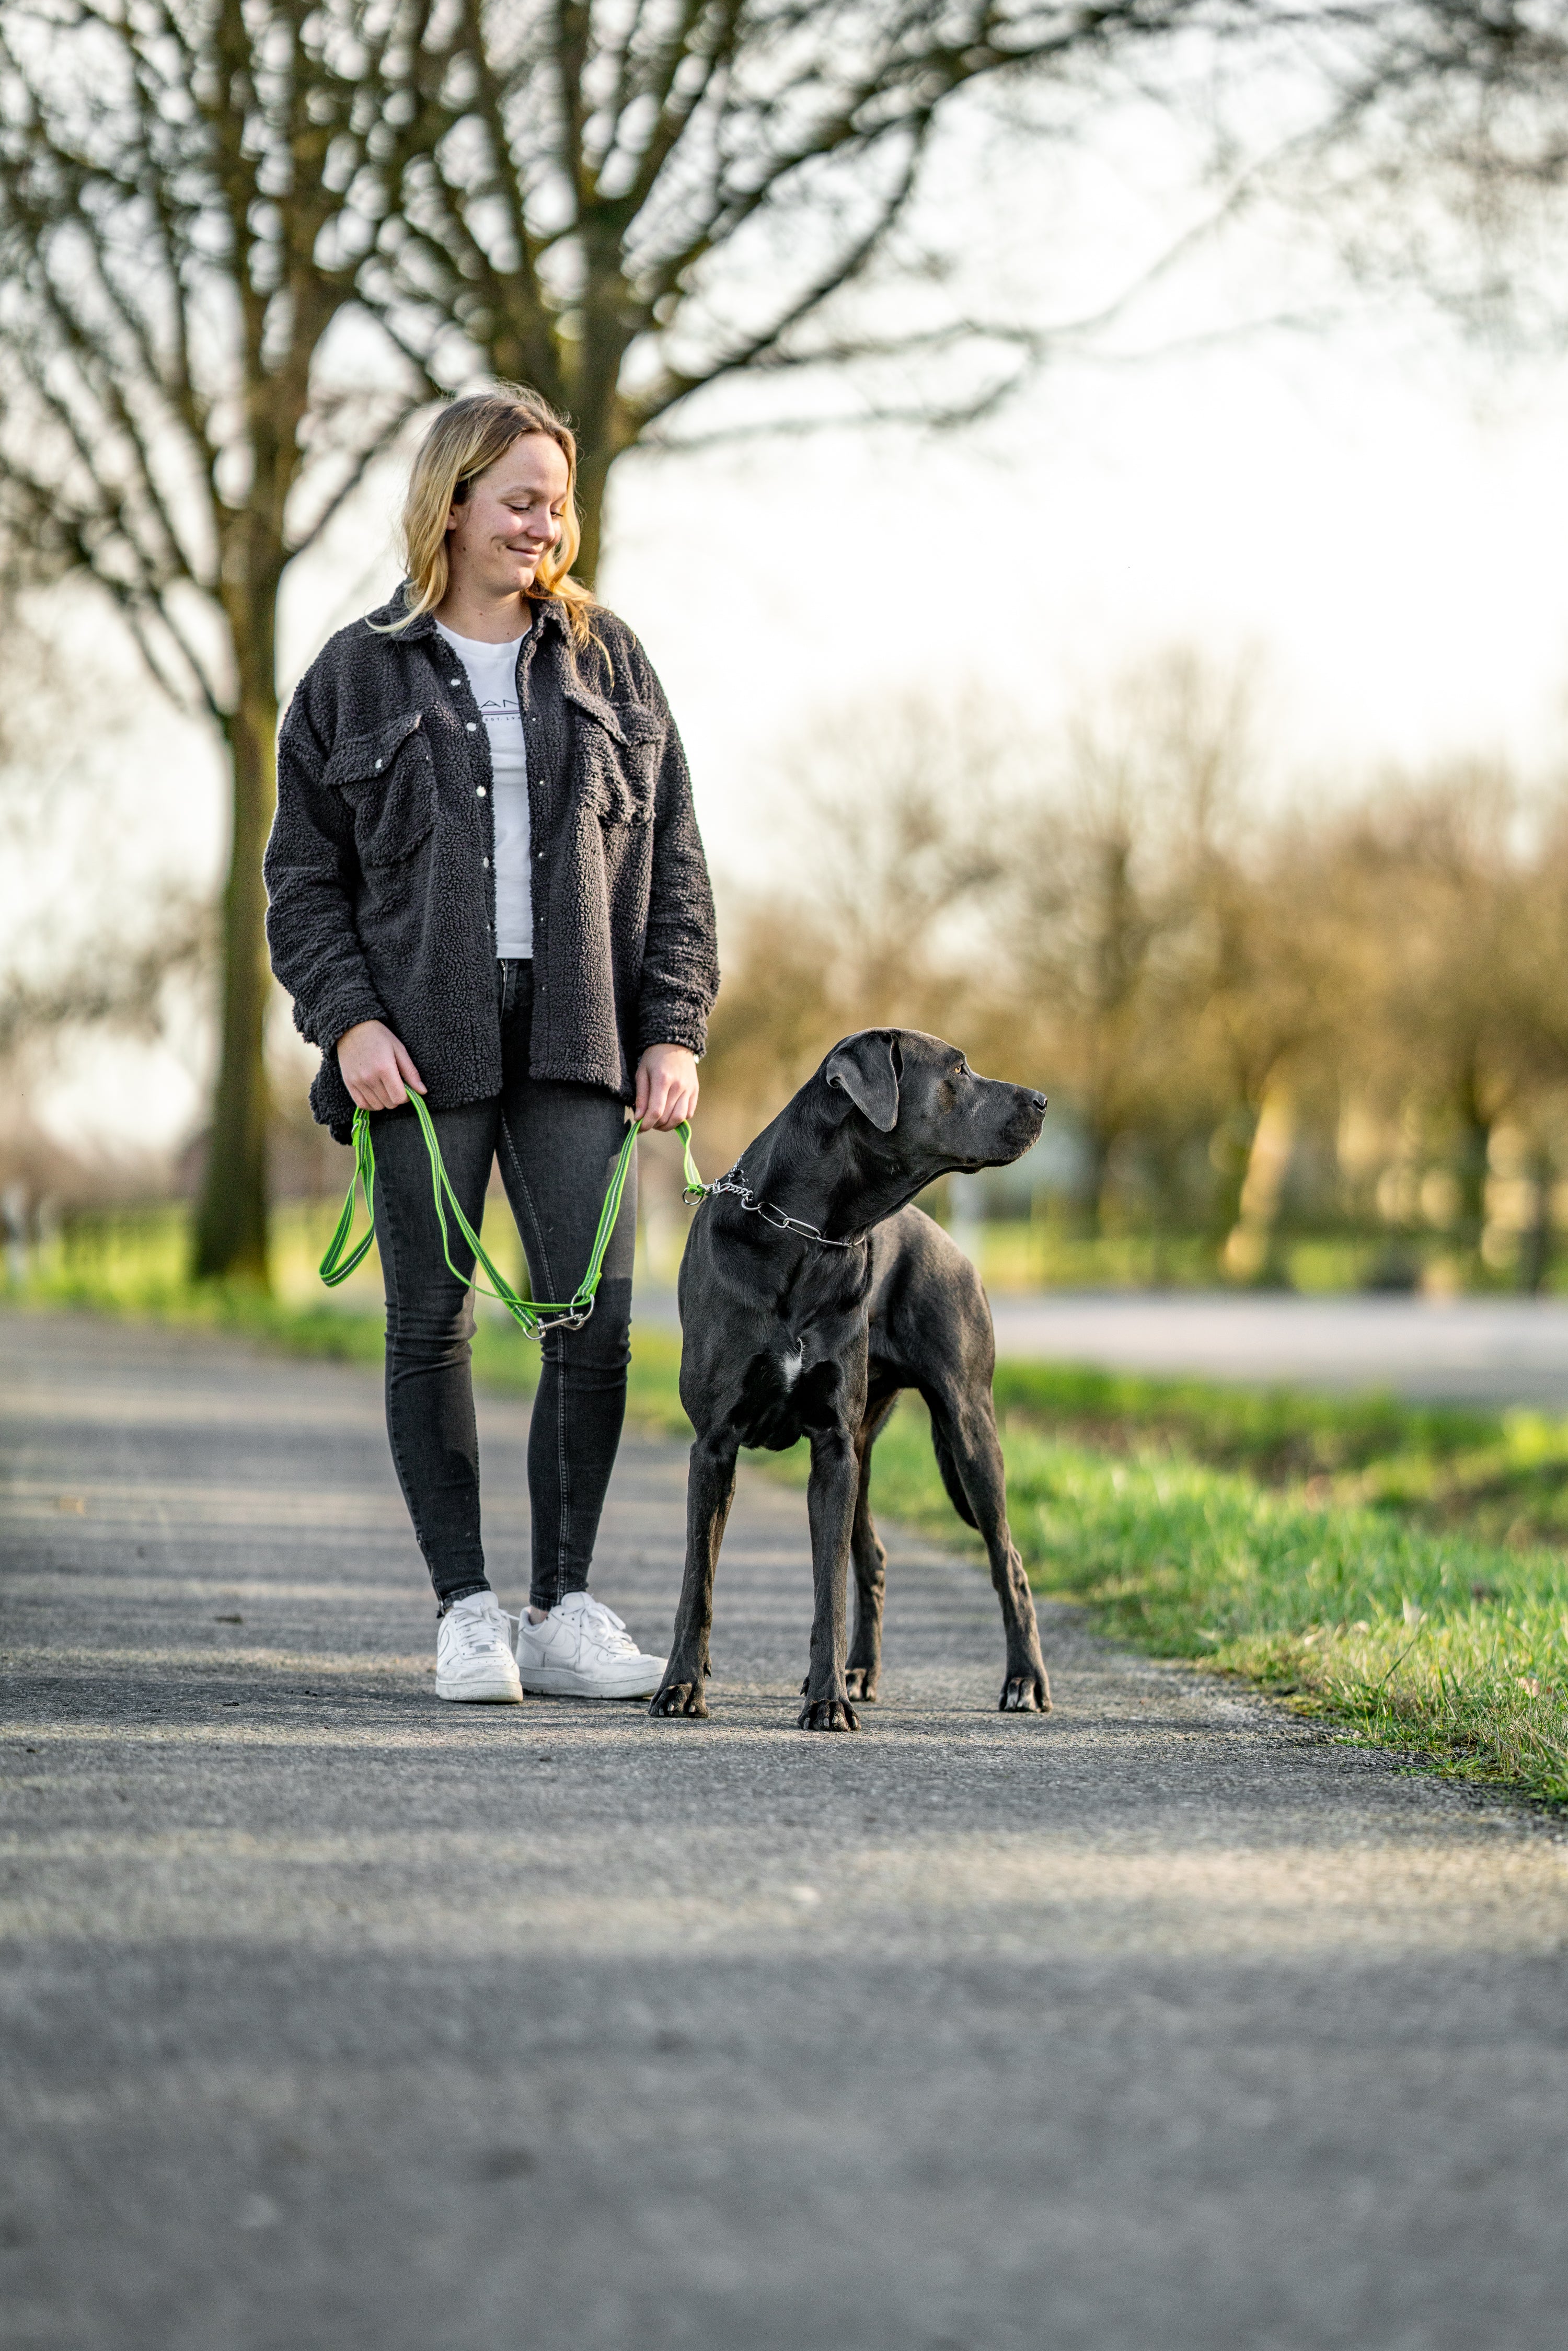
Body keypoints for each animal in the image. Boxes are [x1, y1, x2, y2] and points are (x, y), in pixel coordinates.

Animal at [649, 1030, 1053, 1730]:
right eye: (958, 1069)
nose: (1042, 1100)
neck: (810, 1237)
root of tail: (948, 1243)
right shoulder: (716, 1446)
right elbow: (698, 1581)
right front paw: (681, 1686)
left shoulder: (832, 1446)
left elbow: (826, 1588)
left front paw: (827, 1699)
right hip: (868, 1447)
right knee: (875, 1555)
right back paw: (861, 1671)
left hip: (967, 1428)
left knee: (1009, 1561)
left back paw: (1023, 1681)